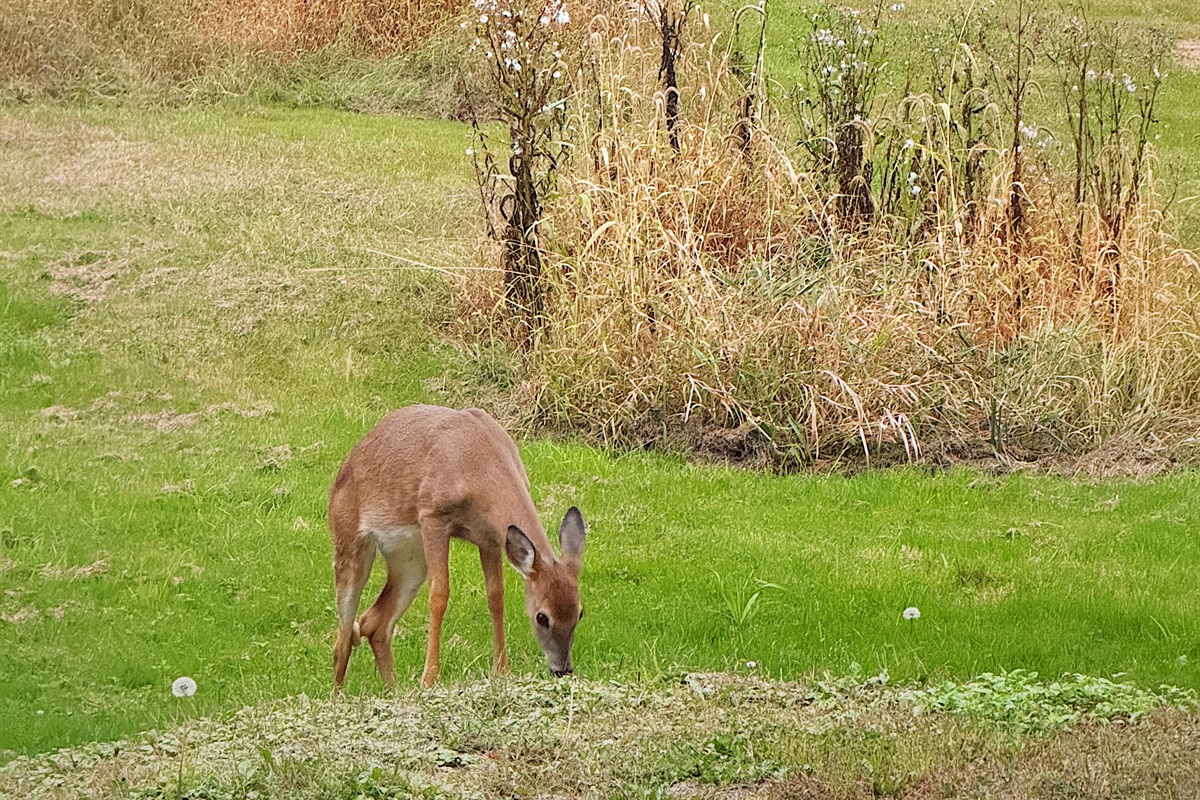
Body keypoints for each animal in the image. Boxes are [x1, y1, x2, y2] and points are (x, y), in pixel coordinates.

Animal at [329, 404, 587, 688]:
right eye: (542, 617)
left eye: (580, 613)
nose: (562, 668)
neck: (476, 465)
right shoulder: (432, 516)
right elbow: (439, 594)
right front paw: (429, 677)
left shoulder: (490, 538)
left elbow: (496, 596)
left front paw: (501, 670)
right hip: (349, 541)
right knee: (343, 638)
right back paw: (339, 695)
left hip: (410, 559)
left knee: (373, 623)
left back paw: (394, 689)